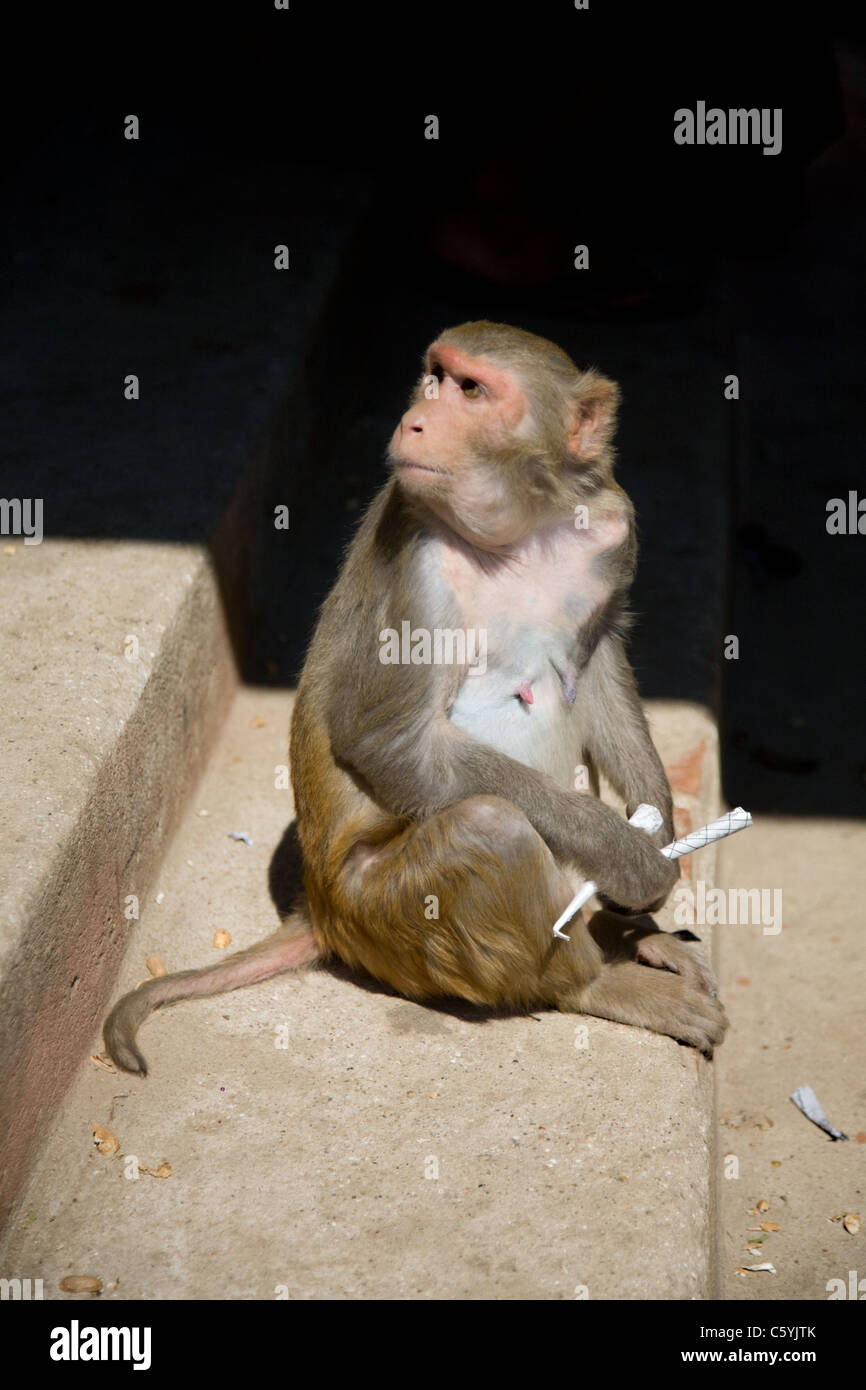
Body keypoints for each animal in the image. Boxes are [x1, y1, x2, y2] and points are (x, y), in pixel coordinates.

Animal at [108, 322, 733, 1073]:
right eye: (434, 377)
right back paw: (595, 982)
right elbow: (394, 746)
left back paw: (620, 934)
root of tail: (320, 910)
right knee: (489, 827)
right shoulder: (420, 566)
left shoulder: (613, 523)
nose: (415, 418)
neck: (522, 534)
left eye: (471, 389)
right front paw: (627, 856)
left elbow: (599, 654)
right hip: (382, 915)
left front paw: (655, 835)